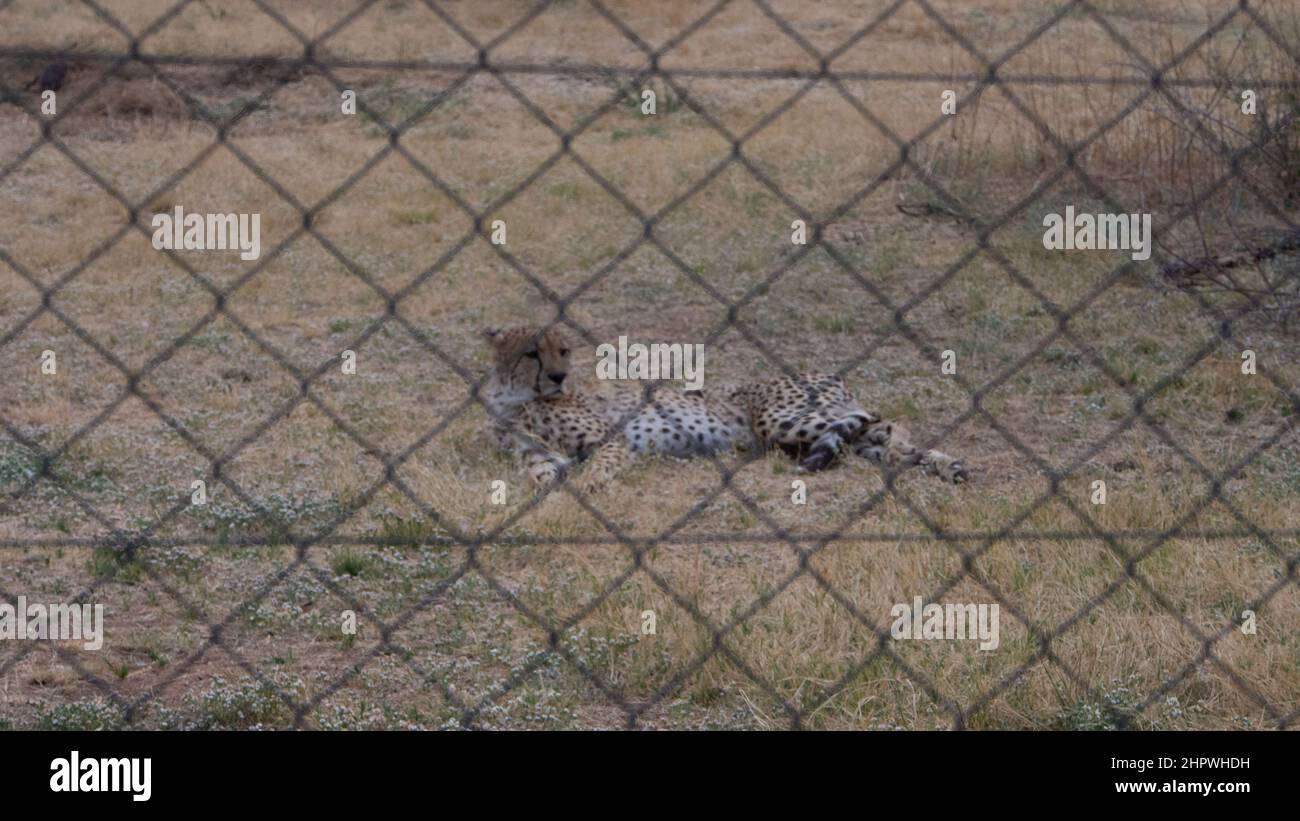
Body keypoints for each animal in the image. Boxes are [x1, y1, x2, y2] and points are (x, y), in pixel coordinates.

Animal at [480, 327, 967, 493]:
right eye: (531, 353)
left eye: (561, 350)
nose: (559, 376)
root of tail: (828, 372)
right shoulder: (540, 455)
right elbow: (537, 473)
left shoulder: (611, 439)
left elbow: (595, 466)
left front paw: (587, 486)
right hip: (815, 432)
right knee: (882, 438)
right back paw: (948, 466)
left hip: (782, 421)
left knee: (887, 422)